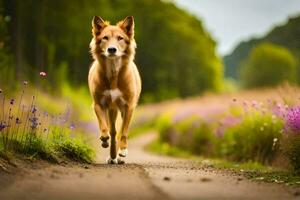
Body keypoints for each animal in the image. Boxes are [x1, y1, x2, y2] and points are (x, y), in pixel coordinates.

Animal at [88, 16, 142, 164]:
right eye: (105, 38)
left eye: (120, 38)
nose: (112, 50)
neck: (113, 73)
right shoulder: (98, 104)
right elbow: (104, 127)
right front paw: (104, 139)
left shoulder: (128, 106)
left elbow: (123, 131)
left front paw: (122, 151)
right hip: (112, 110)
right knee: (112, 131)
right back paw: (112, 155)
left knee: (118, 131)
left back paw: (117, 155)